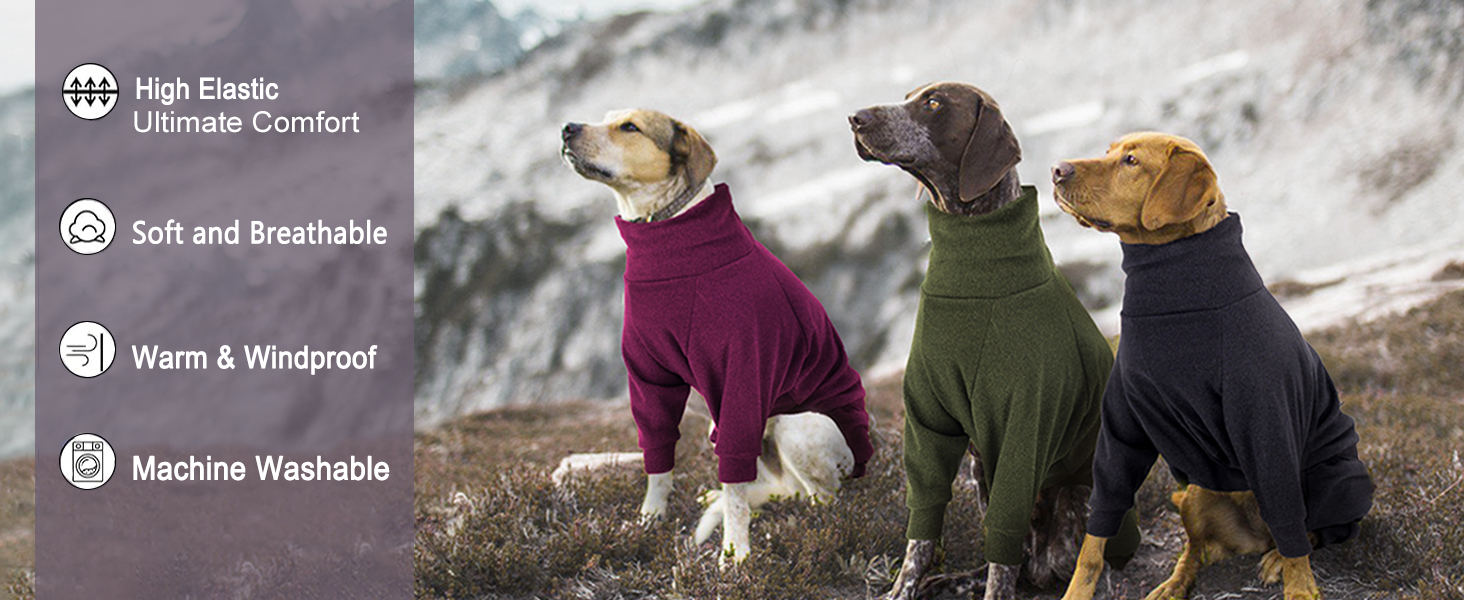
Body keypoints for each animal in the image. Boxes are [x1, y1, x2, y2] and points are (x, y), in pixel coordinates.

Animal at [849, 83, 1130, 600]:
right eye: (908, 96)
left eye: (933, 103)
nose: (856, 118)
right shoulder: (929, 420)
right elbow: (921, 536)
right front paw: (904, 587)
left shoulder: (1025, 423)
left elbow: (1004, 557)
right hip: (980, 474)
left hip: (1077, 492)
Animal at [1054, 130, 1370, 600]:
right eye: (1108, 151)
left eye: (1131, 161)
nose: (1057, 170)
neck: (1172, 291)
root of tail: (1255, 536)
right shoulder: (1121, 425)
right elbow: (1097, 528)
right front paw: (1078, 589)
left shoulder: (1266, 419)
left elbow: (1292, 522)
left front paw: (1300, 588)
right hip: (1198, 490)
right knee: (1198, 548)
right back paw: (1175, 581)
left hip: (1344, 478)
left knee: (1308, 532)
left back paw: (1277, 558)